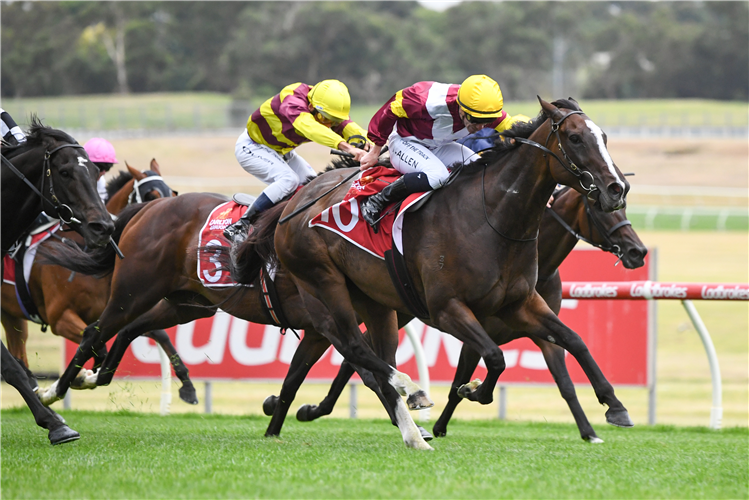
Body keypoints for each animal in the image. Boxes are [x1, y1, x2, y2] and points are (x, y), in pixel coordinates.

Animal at [0, 160, 199, 402]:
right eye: (151, 195)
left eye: (172, 192)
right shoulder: (61, 318)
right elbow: (98, 347)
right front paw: (82, 376)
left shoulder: (117, 309)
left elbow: (157, 333)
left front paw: (187, 385)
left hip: (11, 314)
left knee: (18, 348)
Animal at [262, 96, 632, 450]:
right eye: (575, 138)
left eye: (604, 138)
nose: (616, 189)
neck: (492, 219)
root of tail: (298, 200)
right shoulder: (448, 309)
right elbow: (495, 358)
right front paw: (473, 390)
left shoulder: (521, 304)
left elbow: (574, 341)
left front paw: (614, 405)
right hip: (323, 280)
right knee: (352, 344)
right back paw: (407, 391)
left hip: (374, 299)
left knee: (367, 352)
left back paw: (410, 431)